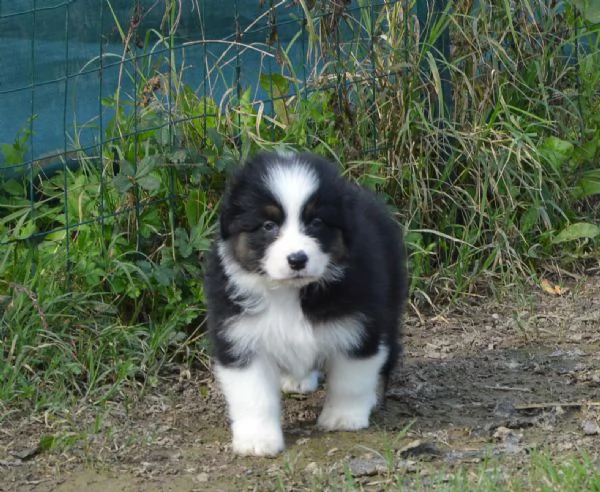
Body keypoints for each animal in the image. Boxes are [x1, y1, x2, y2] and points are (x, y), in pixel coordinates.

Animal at [203, 151, 408, 458]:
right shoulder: (240, 334)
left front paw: (343, 417)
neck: (290, 293)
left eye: (316, 223)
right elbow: (253, 394)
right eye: (268, 225)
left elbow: (351, 377)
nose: (297, 259)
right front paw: (257, 440)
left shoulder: (360, 323)